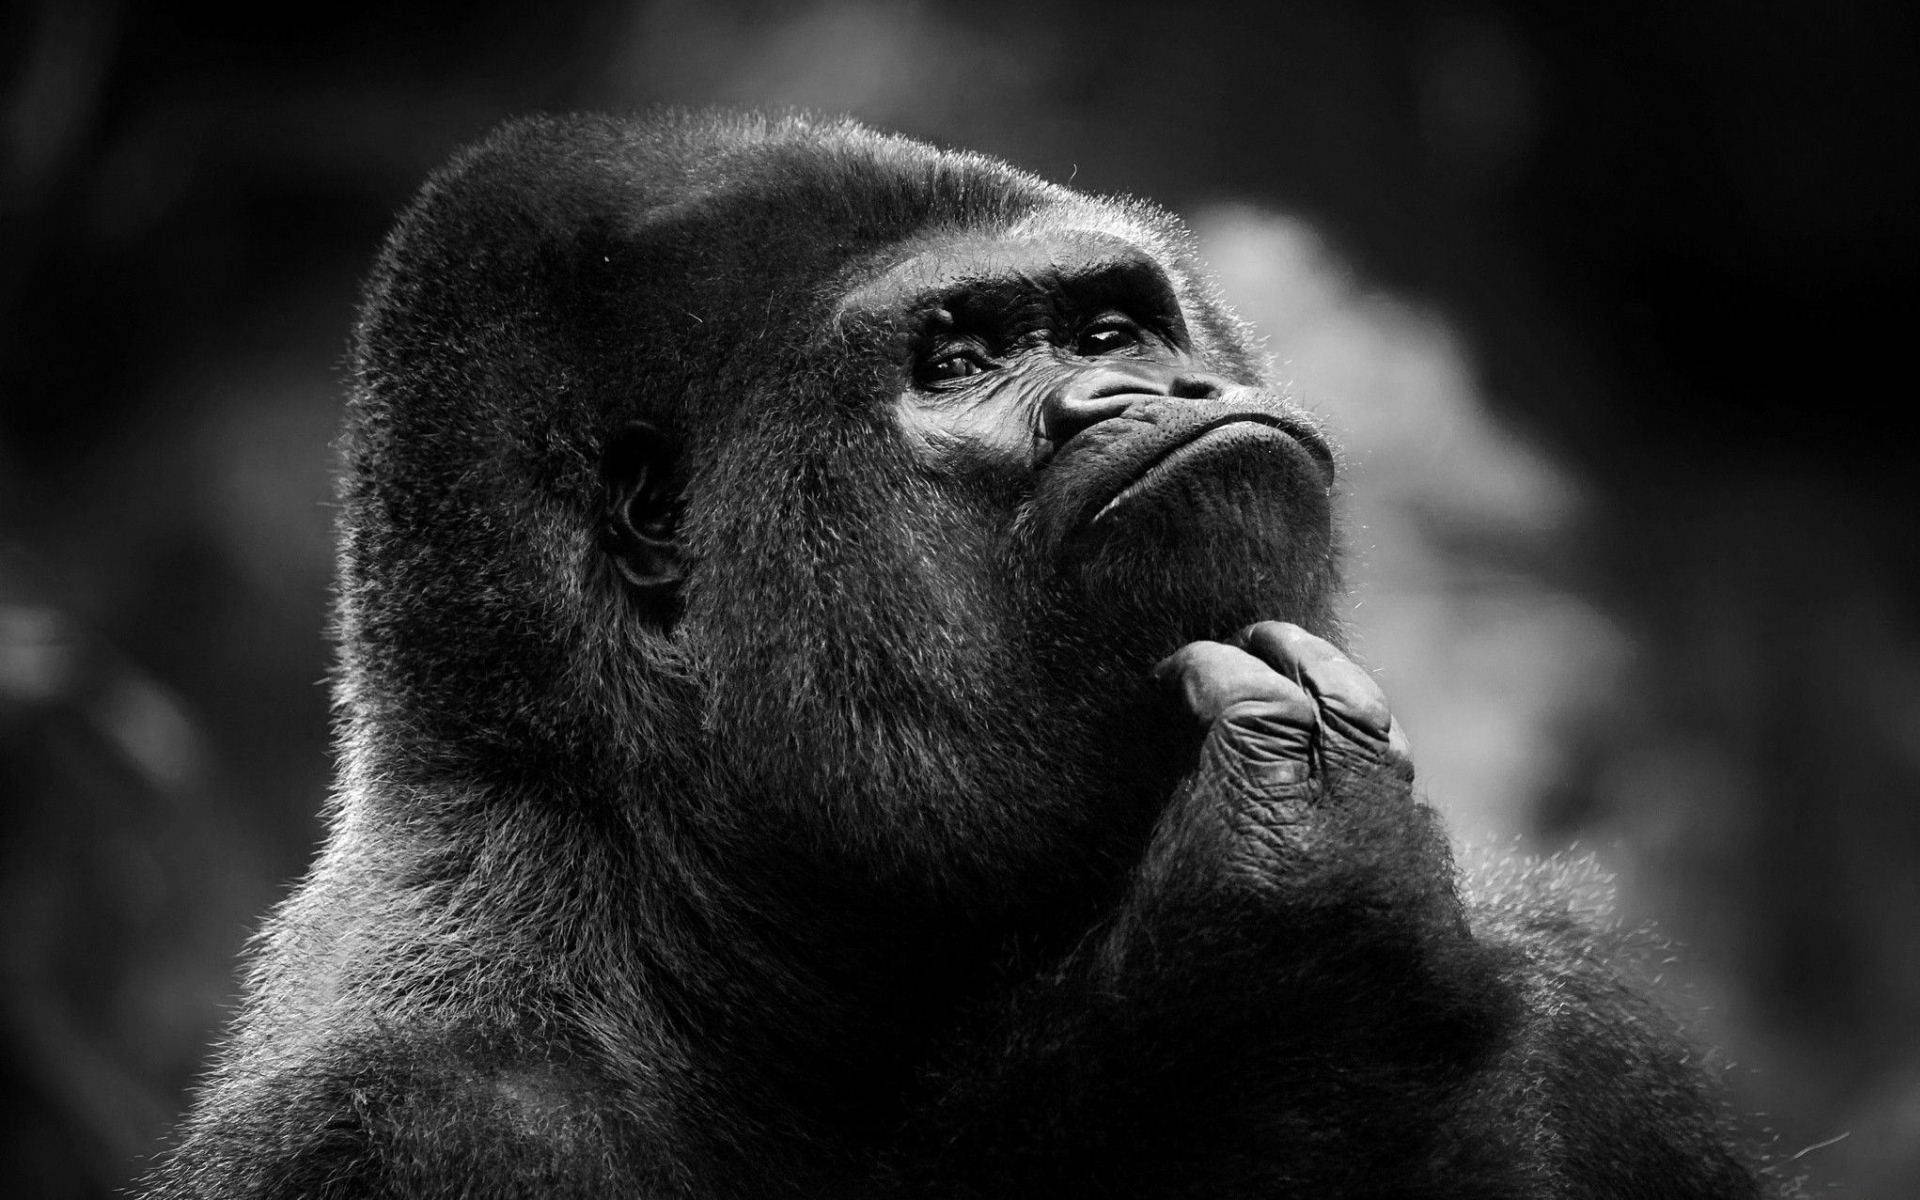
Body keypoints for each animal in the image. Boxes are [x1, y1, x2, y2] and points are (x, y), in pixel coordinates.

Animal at [144, 111, 1783, 1199]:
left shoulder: (1577, 996)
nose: (1151, 388)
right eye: (960, 362)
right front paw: (1281, 974)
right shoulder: (410, 1125)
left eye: (1112, 325)